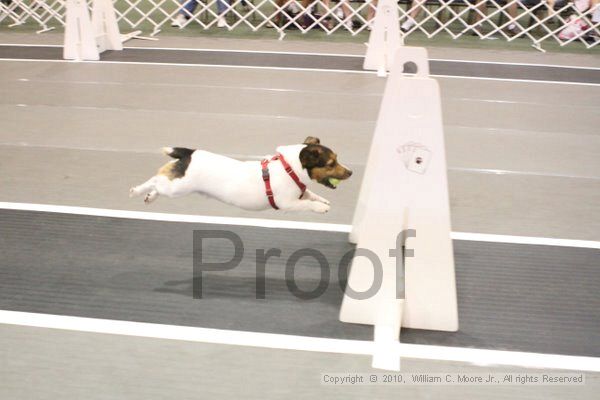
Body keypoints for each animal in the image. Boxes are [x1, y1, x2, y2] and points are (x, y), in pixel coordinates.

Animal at [127, 137, 352, 212]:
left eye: (337, 159)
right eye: (331, 163)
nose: (351, 172)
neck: (289, 168)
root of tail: (189, 153)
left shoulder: (301, 192)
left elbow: (311, 195)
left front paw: (322, 200)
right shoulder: (287, 204)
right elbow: (306, 204)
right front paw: (320, 208)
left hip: (175, 183)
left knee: (159, 181)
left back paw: (149, 197)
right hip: (177, 189)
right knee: (155, 181)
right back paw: (137, 191)